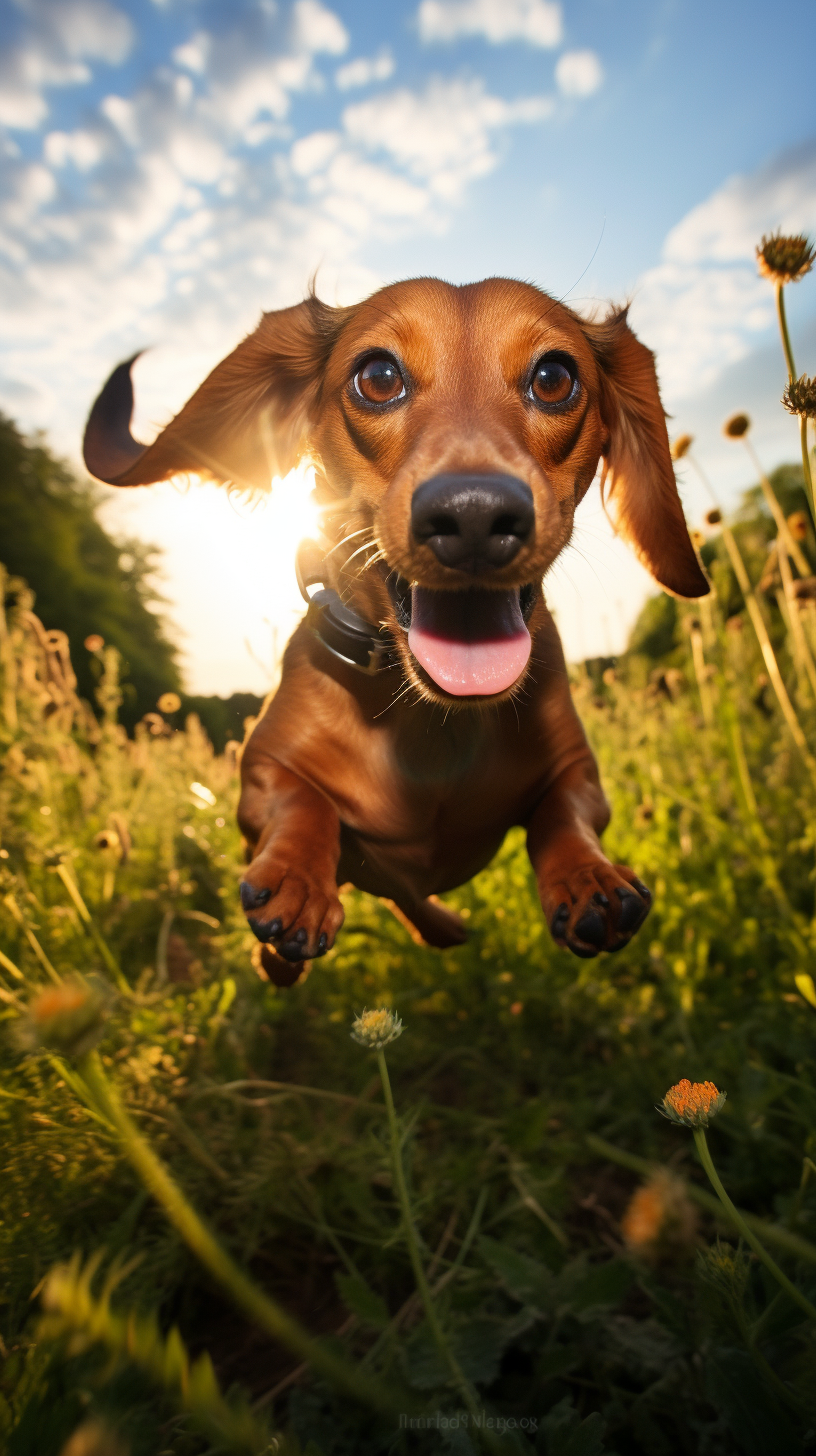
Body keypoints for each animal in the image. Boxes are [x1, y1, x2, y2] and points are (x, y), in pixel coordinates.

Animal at [84, 278, 708, 984]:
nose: (474, 515)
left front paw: (587, 878)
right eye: (378, 377)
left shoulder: (578, 771)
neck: (432, 722)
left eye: (554, 377)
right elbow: (304, 802)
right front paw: (297, 884)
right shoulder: (260, 771)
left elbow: (563, 814)